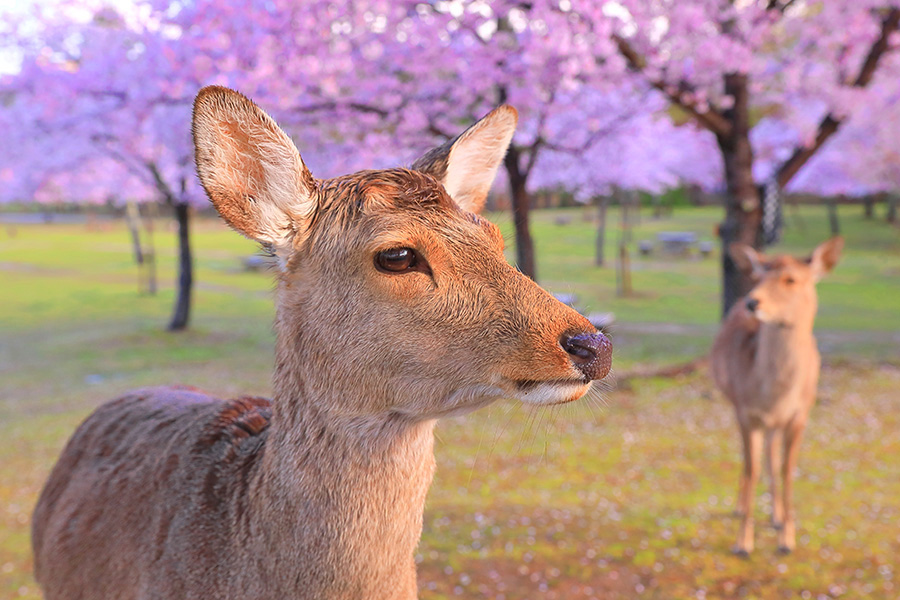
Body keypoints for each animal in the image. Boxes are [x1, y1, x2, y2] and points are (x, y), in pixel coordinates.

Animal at [712, 237, 844, 556]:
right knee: (753, 459)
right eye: (760, 276)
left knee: (772, 456)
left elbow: (786, 469)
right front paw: (743, 543)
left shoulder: (800, 414)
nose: (752, 301)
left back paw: (776, 516)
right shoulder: (745, 411)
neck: (773, 396)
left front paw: (787, 538)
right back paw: (741, 508)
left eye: (790, 279)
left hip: (776, 424)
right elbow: (752, 467)